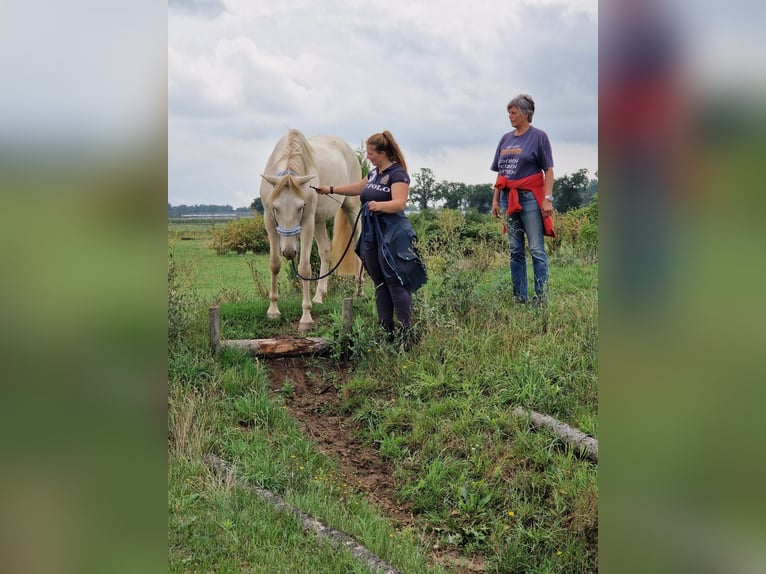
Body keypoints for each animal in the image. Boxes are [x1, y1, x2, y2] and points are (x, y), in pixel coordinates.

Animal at [260, 127, 364, 330]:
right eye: (276, 208)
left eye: (300, 207)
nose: (290, 252)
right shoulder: (269, 220)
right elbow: (274, 264)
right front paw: (273, 310)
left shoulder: (308, 220)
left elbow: (304, 268)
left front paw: (306, 317)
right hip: (319, 221)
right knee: (326, 251)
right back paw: (319, 295)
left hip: (351, 208)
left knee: (357, 243)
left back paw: (359, 291)